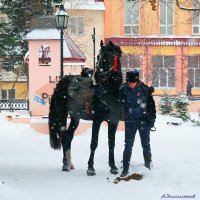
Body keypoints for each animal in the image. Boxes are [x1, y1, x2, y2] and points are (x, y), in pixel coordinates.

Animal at [49, 40, 122, 175]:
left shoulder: (114, 121)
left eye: (106, 56)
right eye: (98, 57)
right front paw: (90, 168)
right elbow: (94, 142)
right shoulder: (97, 120)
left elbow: (111, 143)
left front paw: (113, 167)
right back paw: (65, 164)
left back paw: (70, 164)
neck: (108, 93)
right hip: (62, 114)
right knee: (63, 135)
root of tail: (62, 82)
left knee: (68, 136)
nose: (96, 76)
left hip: (75, 118)